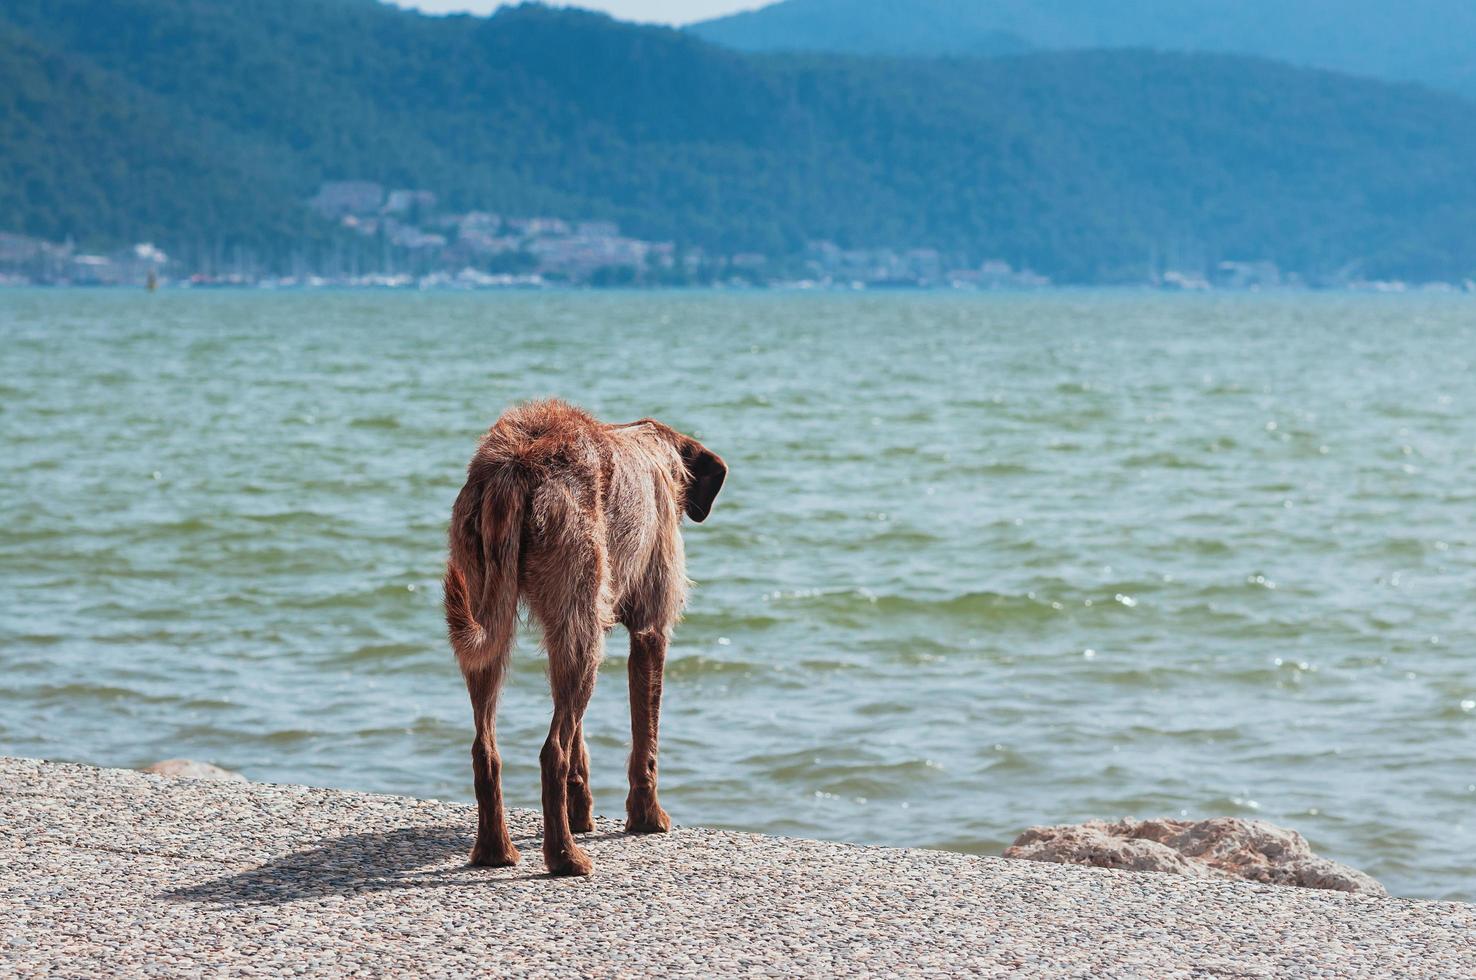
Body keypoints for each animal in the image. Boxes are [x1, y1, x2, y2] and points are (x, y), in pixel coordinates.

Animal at [445, 401, 729, 873]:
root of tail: (516, 465)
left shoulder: (580, 625)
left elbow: (581, 741)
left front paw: (579, 813)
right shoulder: (650, 632)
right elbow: (645, 740)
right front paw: (647, 817)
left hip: (503, 619)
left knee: (485, 747)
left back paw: (496, 850)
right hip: (578, 624)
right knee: (552, 753)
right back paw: (564, 857)